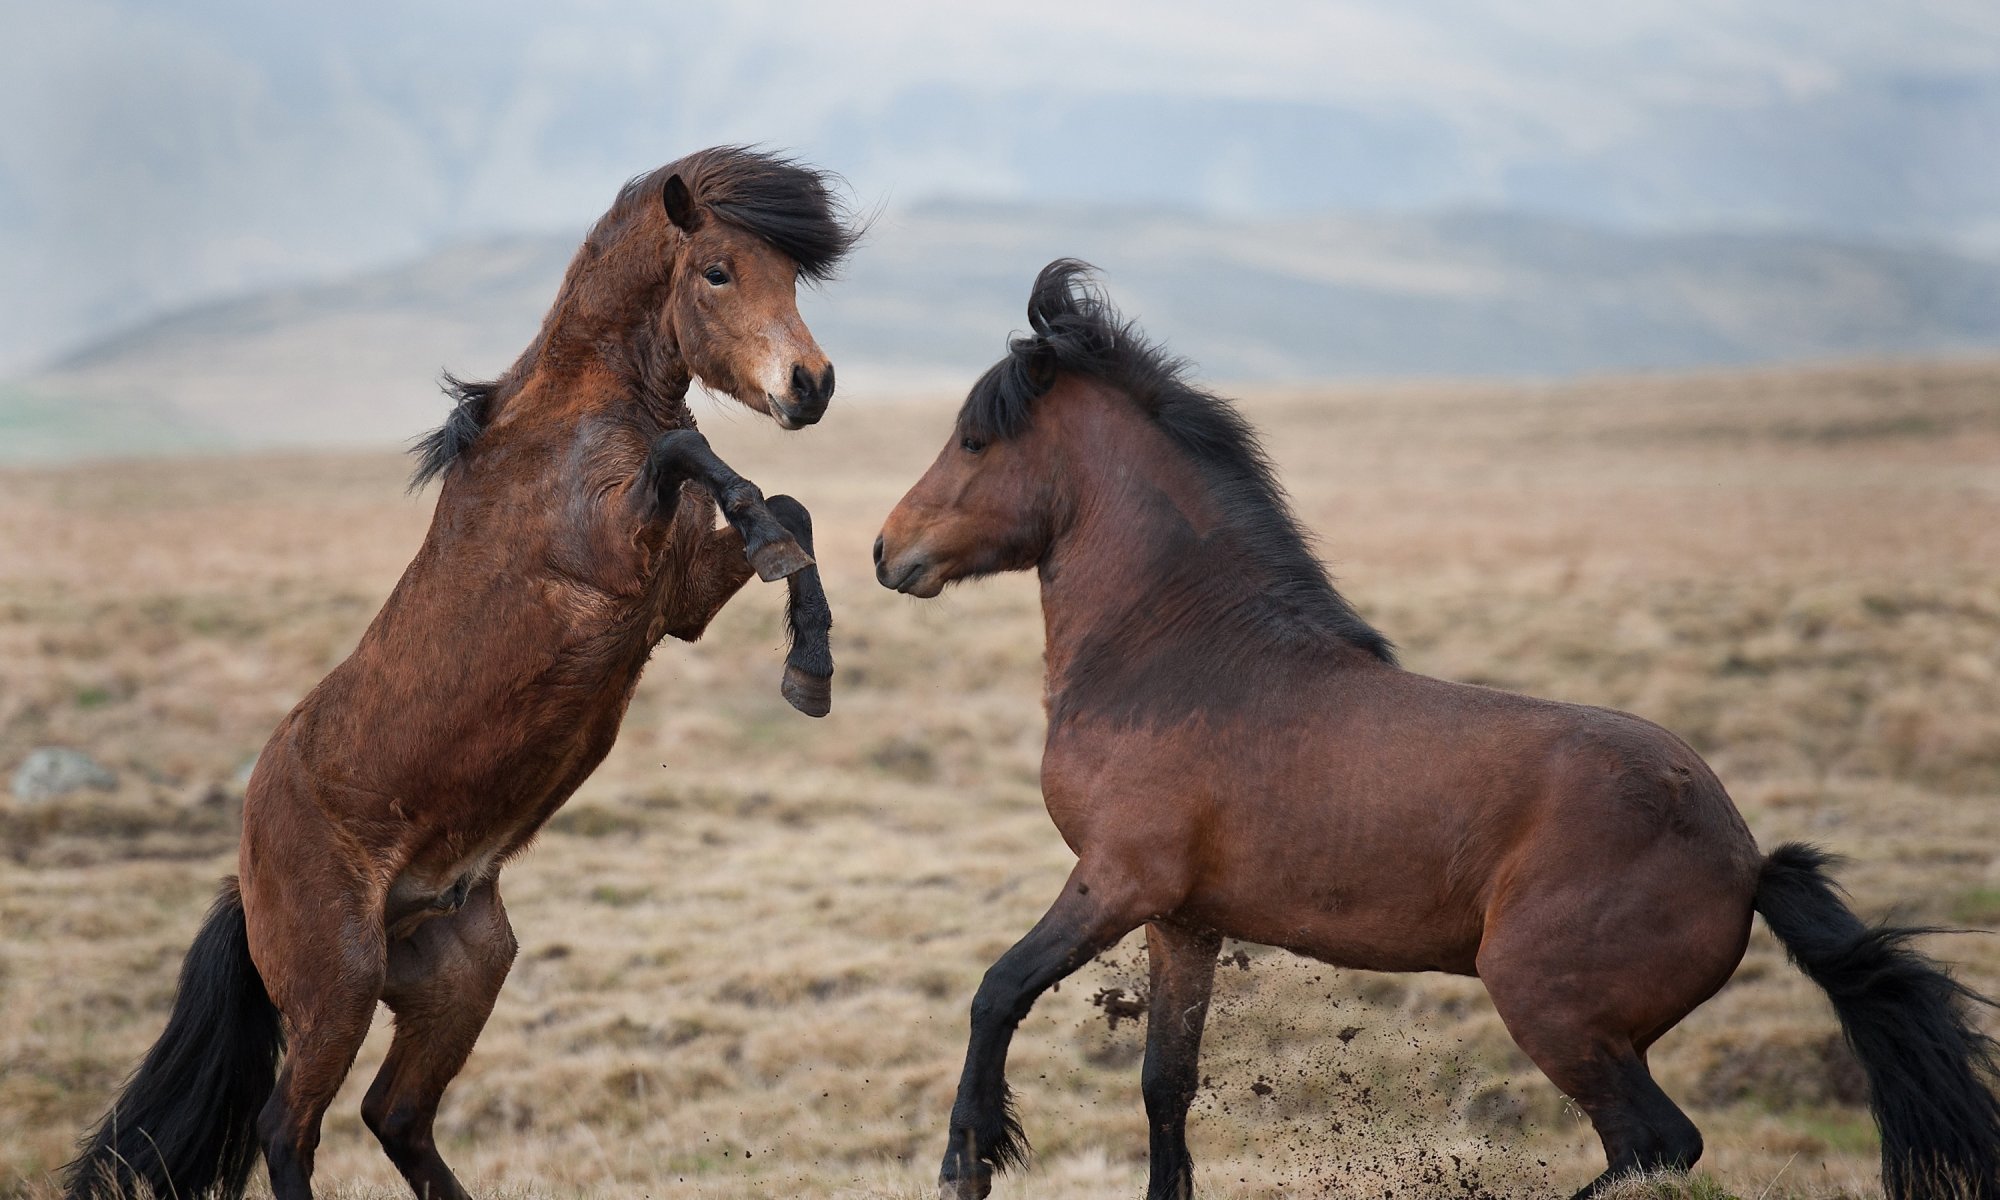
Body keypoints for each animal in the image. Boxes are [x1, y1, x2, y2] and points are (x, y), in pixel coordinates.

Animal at [64, 146, 860, 1200]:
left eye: (790, 277)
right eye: (719, 272)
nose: (811, 385)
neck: (574, 420)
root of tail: (247, 869)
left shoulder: (677, 598)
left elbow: (788, 512)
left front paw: (810, 666)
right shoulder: (616, 559)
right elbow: (693, 453)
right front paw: (783, 591)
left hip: (462, 972)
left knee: (395, 1114)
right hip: (338, 986)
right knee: (289, 1127)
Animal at [874, 260, 2000, 1200]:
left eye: (974, 440)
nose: (888, 550)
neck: (1182, 651)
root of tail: (1744, 857)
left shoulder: (1115, 881)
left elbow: (995, 992)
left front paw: (967, 1160)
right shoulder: (1182, 919)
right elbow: (1165, 1084)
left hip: (1552, 1011)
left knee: (1654, 1146)